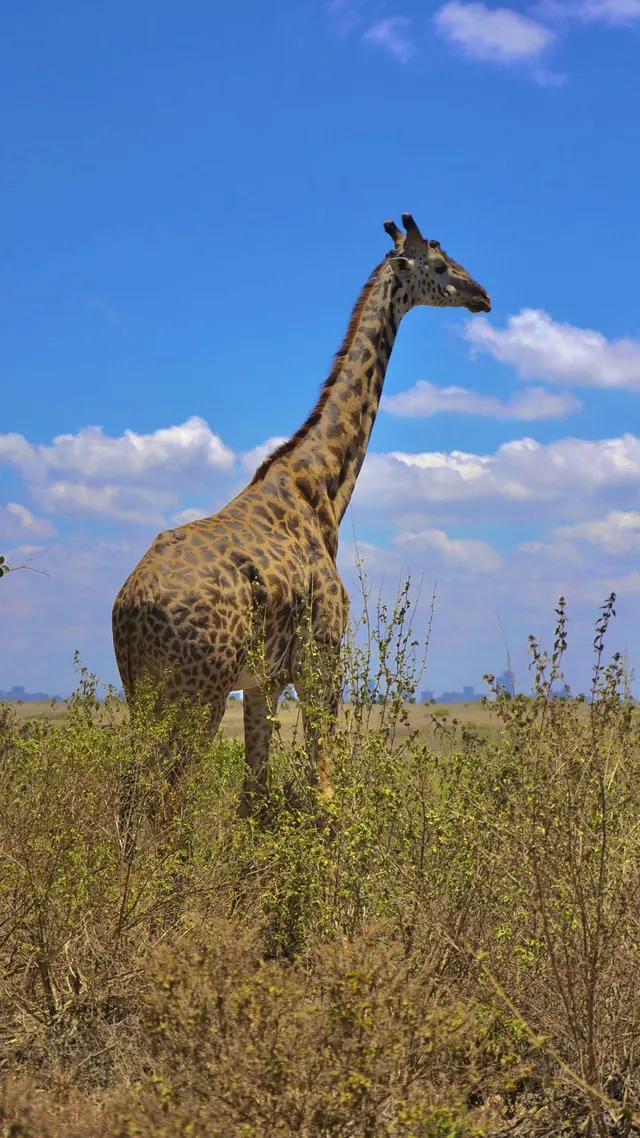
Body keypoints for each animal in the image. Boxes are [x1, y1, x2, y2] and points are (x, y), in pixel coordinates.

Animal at [111, 213, 490, 812]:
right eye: (438, 263)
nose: (483, 296)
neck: (324, 487)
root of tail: (130, 606)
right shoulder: (321, 657)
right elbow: (324, 789)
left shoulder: (262, 679)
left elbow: (254, 795)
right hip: (198, 691)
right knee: (168, 798)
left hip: (142, 692)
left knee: (135, 791)